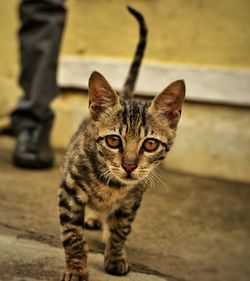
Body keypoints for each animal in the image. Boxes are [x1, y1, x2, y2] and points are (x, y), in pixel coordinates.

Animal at [58, 5, 184, 278]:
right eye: (114, 141)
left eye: (150, 144)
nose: (129, 165)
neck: (112, 186)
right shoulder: (69, 189)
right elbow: (72, 235)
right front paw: (76, 267)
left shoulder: (132, 200)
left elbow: (121, 230)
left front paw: (115, 256)